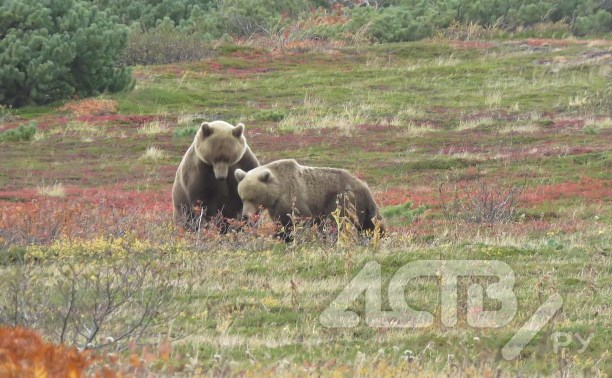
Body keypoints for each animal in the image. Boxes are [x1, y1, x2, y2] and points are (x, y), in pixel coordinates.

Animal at [235, 158, 384, 241]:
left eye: (253, 198)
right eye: (242, 198)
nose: (246, 215)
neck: (277, 191)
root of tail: (364, 186)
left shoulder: (291, 197)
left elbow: (295, 220)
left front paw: (285, 237)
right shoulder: (275, 206)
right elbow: (279, 221)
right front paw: (279, 235)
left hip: (341, 199)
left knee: (335, 222)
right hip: (363, 206)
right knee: (372, 224)